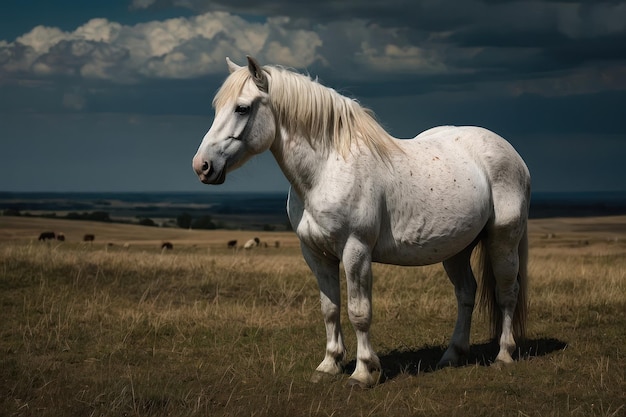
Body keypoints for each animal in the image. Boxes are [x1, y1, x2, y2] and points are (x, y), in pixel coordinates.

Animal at [193, 55, 528, 386]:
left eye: (242, 108)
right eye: (217, 108)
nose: (202, 166)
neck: (327, 169)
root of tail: (513, 155)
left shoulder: (356, 251)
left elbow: (359, 311)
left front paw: (363, 372)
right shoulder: (315, 254)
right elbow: (330, 309)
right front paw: (328, 365)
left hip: (503, 239)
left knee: (506, 292)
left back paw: (503, 356)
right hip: (456, 249)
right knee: (466, 294)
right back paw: (452, 355)